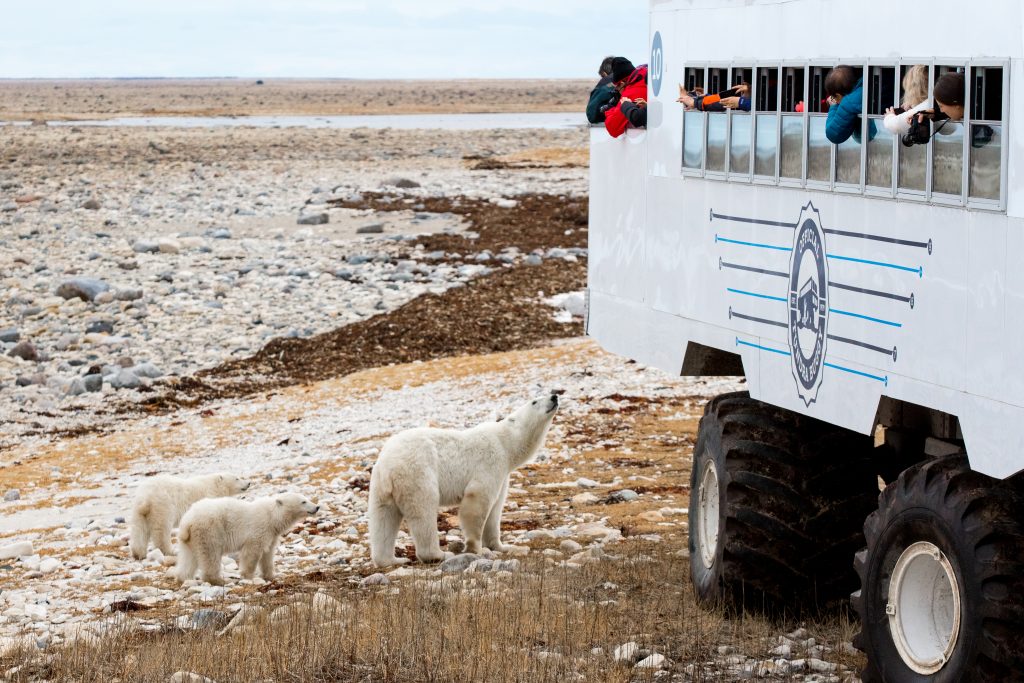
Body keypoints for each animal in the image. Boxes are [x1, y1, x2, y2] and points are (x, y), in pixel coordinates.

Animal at [173, 492, 319, 585]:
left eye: (306, 498)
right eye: (303, 501)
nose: (317, 507)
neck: (272, 516)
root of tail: (187, 521)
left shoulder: (271, 534)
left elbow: (268, 554)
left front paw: (271, 575)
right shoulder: (259, 529)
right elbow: (252, 553)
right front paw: (248, 576)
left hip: (190, 538)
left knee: (188, 557)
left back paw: (184, 578)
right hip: (209, 531)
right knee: (210, 555)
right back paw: (218, 580)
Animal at [368, 393, 559, 567]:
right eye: (534, 401)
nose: (555, 396)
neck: (505, 443)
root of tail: (387, 465)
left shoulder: (503, 474)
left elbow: (495, 509)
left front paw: (500, 546)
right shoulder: (491, 461)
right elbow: (478, 500)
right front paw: (475, 548)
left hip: (381, 487)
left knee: (383, 519)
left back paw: (392, 559)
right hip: (417, 474)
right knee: (423, 511)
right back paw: (438, 554)